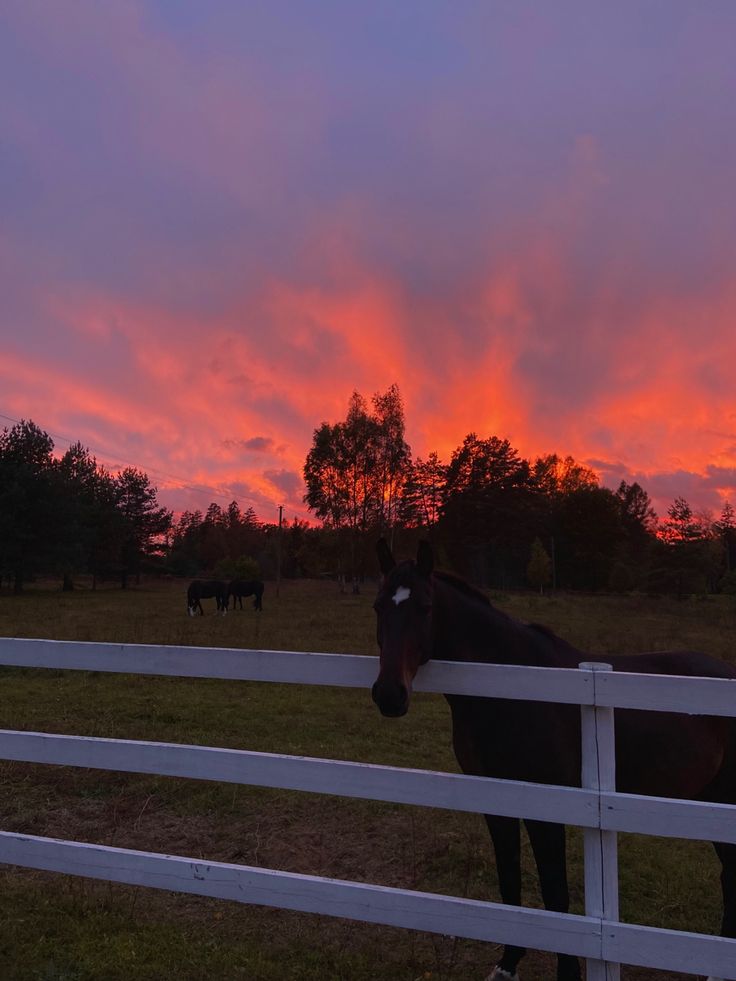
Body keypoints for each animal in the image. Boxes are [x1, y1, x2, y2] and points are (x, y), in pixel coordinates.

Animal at [374, 536, 736, 980]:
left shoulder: (548, 807)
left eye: (424, 607)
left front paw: (567, 972)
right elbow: (510, 884)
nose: (389, 695)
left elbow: (556, 896)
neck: (513, 692)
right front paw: (507, 964)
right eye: (378, 606)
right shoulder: (496, 800)